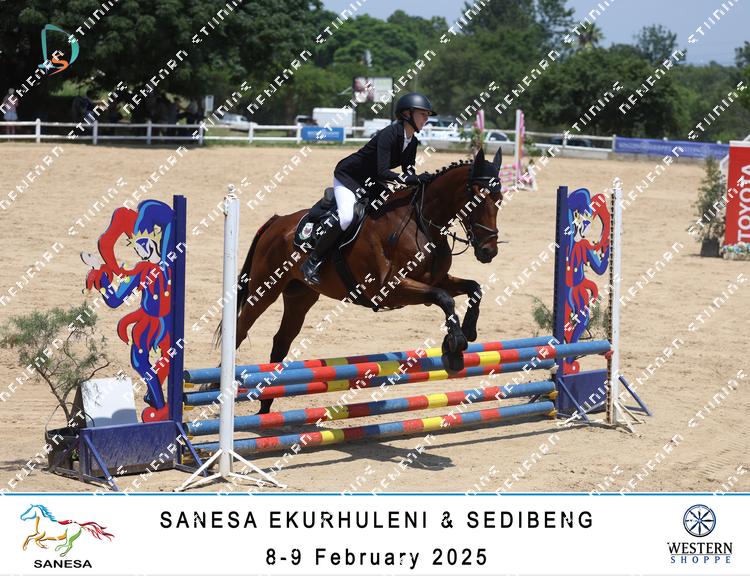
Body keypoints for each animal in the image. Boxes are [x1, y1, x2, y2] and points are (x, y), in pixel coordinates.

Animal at [231, 147, 504, 414]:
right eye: (477, 197)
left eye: (499, 198)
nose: (489, 251)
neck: (421, 223)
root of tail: (276, 221)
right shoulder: (388, 289)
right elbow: (444, 298)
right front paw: (455, 346)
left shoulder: (437, 280)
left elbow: (473, 288)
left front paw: (467, 332)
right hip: (265, 289)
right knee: (240, 329)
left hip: (300, 296)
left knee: (281, 341)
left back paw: (265, 408)